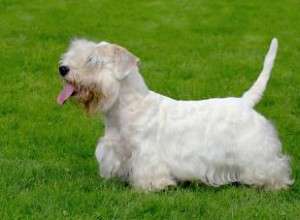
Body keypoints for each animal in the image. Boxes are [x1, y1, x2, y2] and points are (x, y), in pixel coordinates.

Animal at [56, 37, 292, 191]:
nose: (63, 69)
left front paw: (151, 187)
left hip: (257, 153)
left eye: (92, 61)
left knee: (274, 168)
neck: (126, 108)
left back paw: (272, 184)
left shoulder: (147, 155)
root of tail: (245, 101)